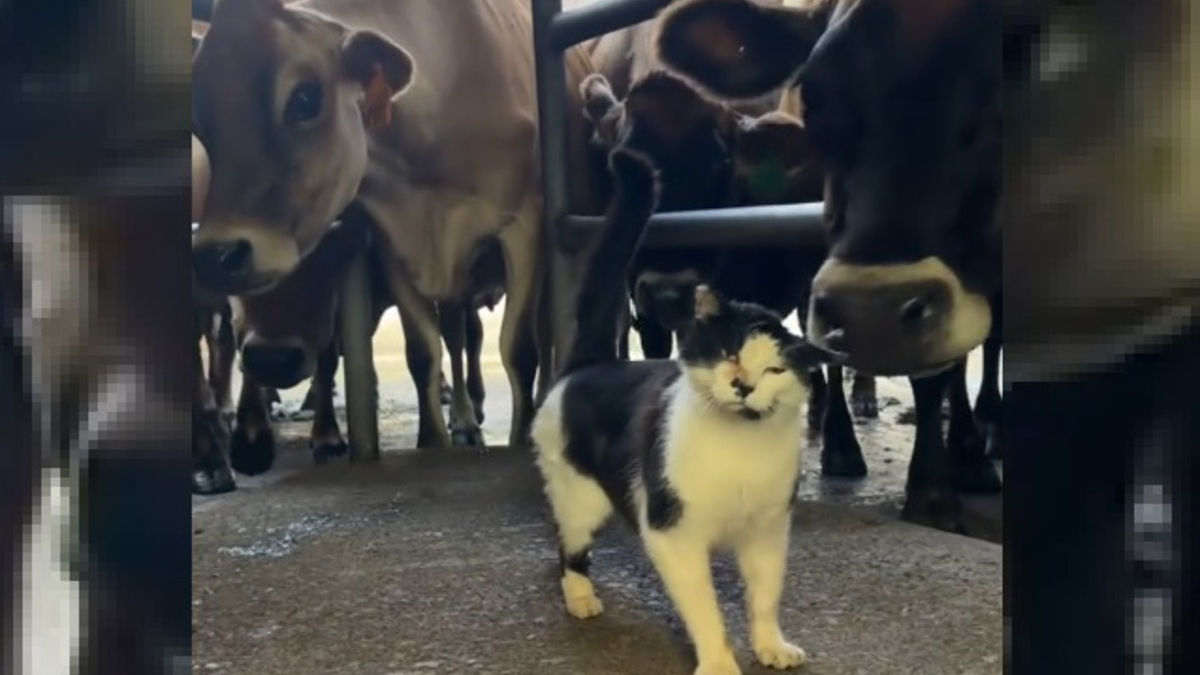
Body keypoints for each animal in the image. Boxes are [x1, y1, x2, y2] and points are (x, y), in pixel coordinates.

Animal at [193, 1, 604, 451]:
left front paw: (520, 440)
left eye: (304, 98)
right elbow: (422, 351)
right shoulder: (394, 240)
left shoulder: (526, 225)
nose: (216, 256)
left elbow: (520, 350)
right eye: (200, 117)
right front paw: (431, 442)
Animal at [530, 148, 840, 672]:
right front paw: (719, 663)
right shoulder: (672, 534)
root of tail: (592, 363)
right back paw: (580, 597)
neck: (740, 451)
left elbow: (765, 595)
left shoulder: (768, 533)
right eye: (730, 353)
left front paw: (770, 645)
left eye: (775, 369)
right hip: (580, 496)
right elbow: (705, 609)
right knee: (568, 545)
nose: (743, 384)